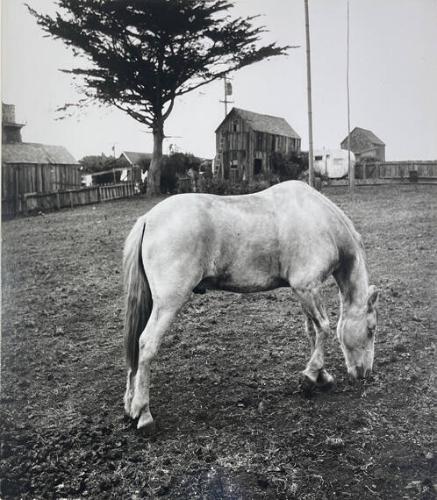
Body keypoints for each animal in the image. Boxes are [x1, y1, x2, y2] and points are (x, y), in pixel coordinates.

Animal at [122, 180, 378, 430]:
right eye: (371, 330)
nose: (365, 372)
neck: (320, 220)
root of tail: (148, 219)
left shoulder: (305, 291)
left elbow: (313, 332)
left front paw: (321, 376)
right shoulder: (307, 287)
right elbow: (323, 328)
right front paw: (311, 375)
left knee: (136, 347)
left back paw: (130, 406)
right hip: (168, 304)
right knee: (146, 344)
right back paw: (144, 413)